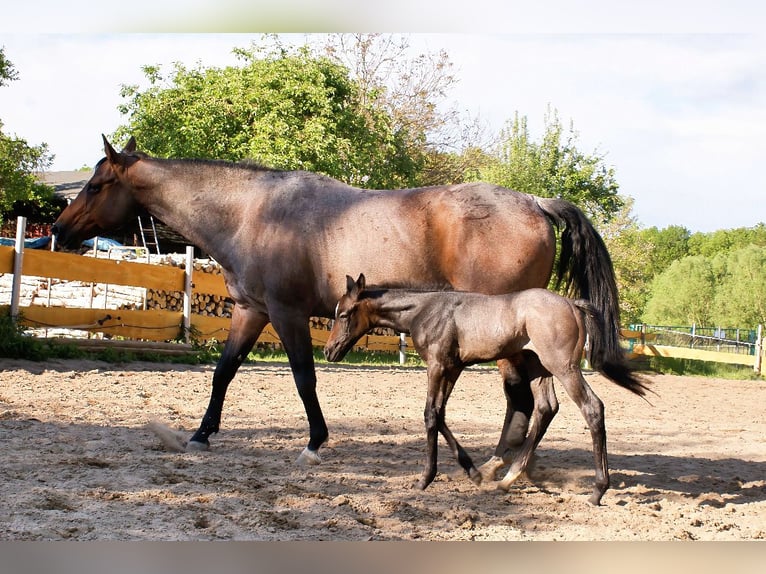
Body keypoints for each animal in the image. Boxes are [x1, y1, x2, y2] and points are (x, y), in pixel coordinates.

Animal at [51, 135, 623, 467]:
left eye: (97, 185)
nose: (57, 228)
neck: (253, 211)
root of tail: (534, 202)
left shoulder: (287, 314)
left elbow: (305, 376)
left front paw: (315, 441)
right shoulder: (251, 311)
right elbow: (224, 372)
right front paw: (200, 434)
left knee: (527, 398)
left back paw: (498, 467)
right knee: (532, 400)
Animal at [324, 274, 650, 505]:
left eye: (344, 314)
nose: (329, 351)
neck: (427, 310)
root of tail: (572, 304)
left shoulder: (437, 365)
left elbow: (430, 414)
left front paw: (425, 479)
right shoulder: (453, 368)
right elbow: (440, 414)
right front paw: (474, 473)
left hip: (563, 366)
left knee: (592, 407)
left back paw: (597, 491)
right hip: (540, 368)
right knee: (547, 408)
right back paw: (507, 479)